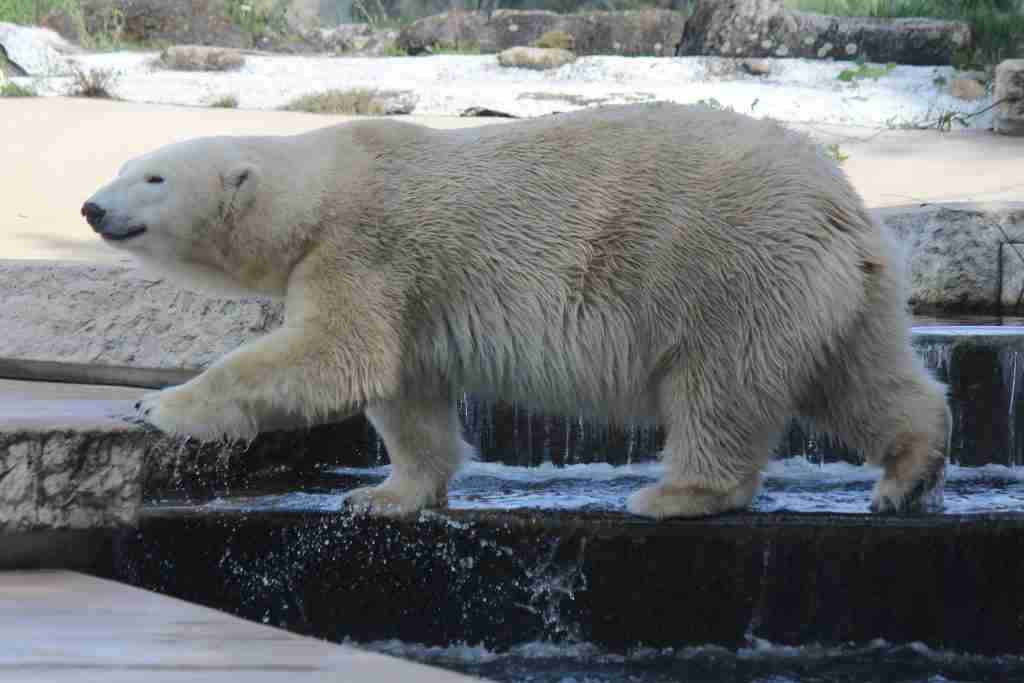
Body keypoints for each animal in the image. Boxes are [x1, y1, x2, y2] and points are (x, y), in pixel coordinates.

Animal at [81, 101, 950, 518]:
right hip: (838, 288)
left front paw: (159, 404)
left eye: (153, 177)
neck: (321, 186)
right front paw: (385, 495)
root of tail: (844, 205)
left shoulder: (364, 247)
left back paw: (675, 493)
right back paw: (906, 473)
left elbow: (338, 354)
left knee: (720, 384)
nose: (91, 206)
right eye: (124, 165)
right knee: (860, 375)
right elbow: (407, 392)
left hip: (731, 266)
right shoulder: (410, 291)